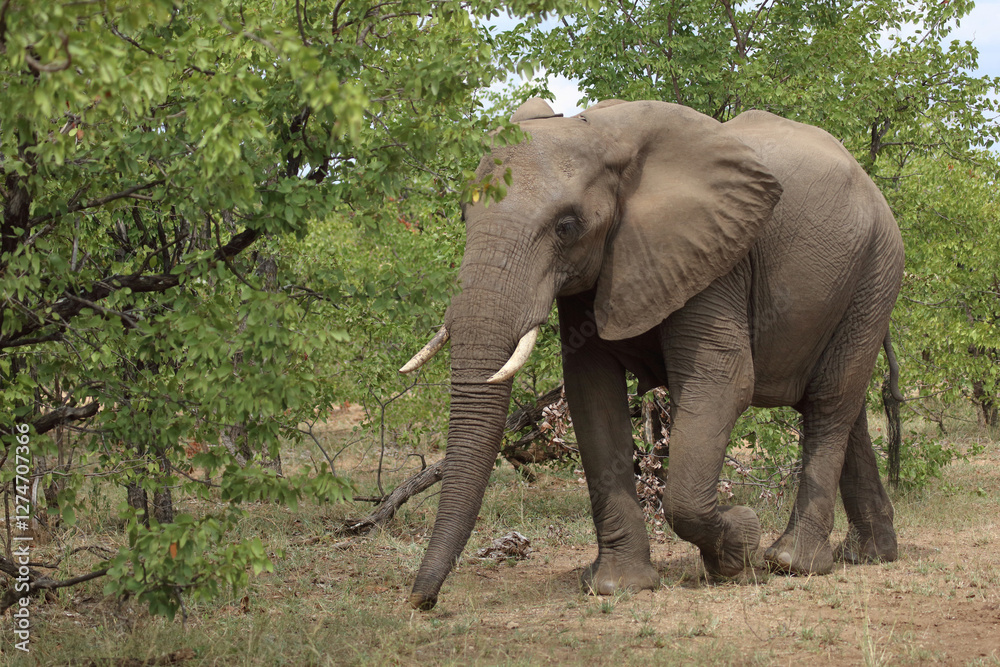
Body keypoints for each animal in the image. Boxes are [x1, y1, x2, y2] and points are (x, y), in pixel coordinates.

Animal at [400, 99, 904, 611]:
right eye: (464, 217)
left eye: (567, 226)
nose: (422, 601)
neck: (601, 134)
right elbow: (591, 395)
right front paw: (617, 586)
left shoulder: (713, 255)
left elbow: (722, 381)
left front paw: (739, 548)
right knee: (843, 408)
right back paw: (869, 554)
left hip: (877, 270)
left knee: (829, 402)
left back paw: (792, 562)